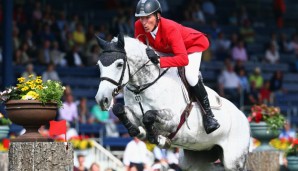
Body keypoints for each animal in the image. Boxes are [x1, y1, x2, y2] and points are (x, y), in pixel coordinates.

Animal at [94, 33, 250, 171]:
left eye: (119, 64)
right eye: (99, 65)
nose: (102, 99)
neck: (143, 87)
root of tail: (243, 116)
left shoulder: (173, 120)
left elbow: (149, 115)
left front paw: (155, 138)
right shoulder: (134, 114)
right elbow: (119, 109)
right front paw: (136, 131)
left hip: (233, 160)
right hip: (195, 160)